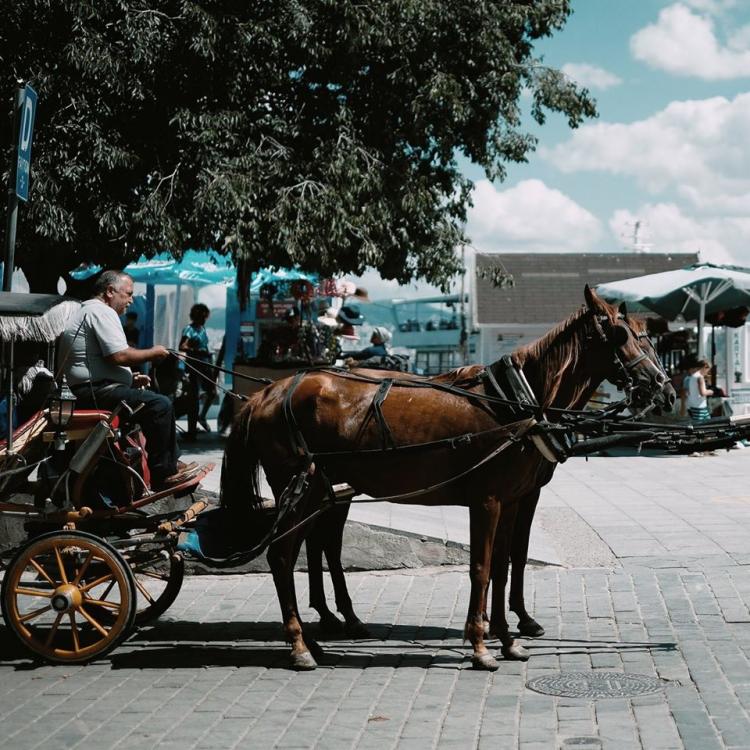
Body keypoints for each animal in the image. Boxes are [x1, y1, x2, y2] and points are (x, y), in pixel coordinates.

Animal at [222, 288, 676, 668]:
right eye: (621, 334)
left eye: (647, 336)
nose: (664, 389)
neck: (518, 403)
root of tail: (268, 393)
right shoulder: (488, 501)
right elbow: (481, 567)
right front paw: (480, 644)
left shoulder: (513, 499)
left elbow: (503, 566)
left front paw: (507, 637)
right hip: (298, 490)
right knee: (284, 556)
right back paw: (301, 644)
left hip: (319, 492)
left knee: (315, 547)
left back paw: (323, 632)